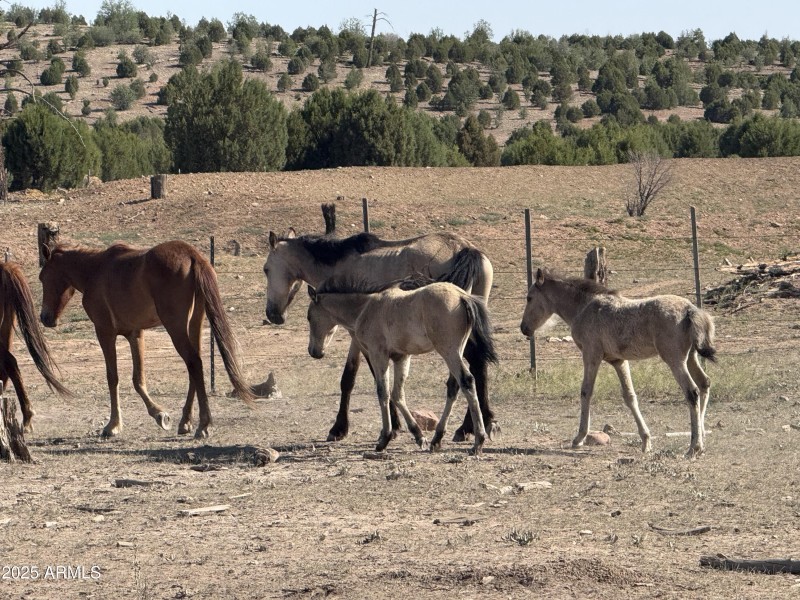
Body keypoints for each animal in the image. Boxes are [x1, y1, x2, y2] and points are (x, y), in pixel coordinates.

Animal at [38, 241, 255, 439]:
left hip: (176, 328)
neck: (94, 270)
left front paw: (113, 425)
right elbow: (138, 379)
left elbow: (113, 377)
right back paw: (185, 422)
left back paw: (203, 425)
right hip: (194, 324)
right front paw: (159, 415)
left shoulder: (105, 332)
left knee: (194, 362)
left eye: (42, 278)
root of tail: (192, 255)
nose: (45, 318)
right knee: (195, 366)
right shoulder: (135, 334)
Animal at [307, 278, 498, 455]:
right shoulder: (401, 357)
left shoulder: (378, 355)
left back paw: (478, 441)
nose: (314, 352)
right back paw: (437, 439)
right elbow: (397, 394)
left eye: (308, 317)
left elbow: (383, 392)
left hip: (449, 351)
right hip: (457, 350)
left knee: (467, 381)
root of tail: (462, 295)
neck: (365, 308)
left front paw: (385, 439)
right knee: (454, 386)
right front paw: (419, 436)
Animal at [520, 268, 716, 457]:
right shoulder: (618, 361)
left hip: (674, 359)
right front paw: (646, 441)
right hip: (690, 357)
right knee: (704, 383)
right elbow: (630, 396)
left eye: (529, 298)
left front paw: (579, 437)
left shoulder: (591, 355)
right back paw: (702, 439)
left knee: (692, 391)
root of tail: (691, 309)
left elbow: (586, 392)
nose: (523, 328)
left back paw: (694, 447)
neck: (583, 307)